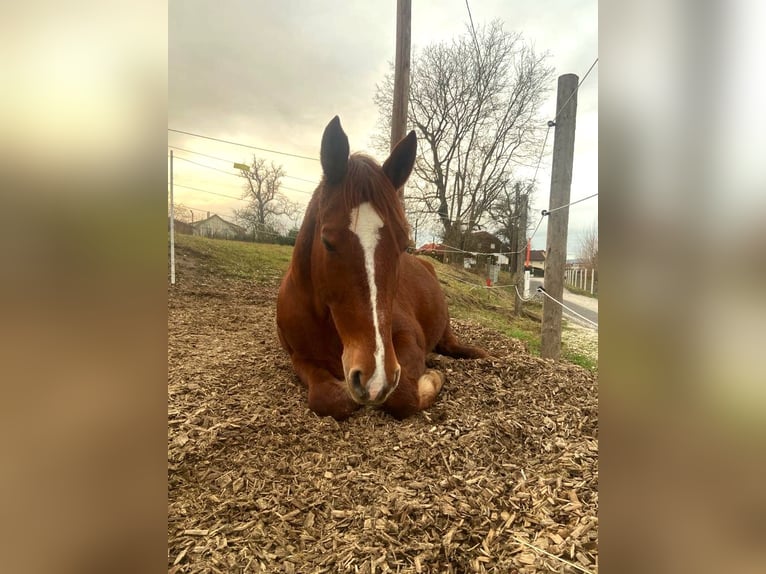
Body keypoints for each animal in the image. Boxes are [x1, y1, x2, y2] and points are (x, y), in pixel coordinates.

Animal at [276, 118, 486, 424]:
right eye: (327, 241)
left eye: (404, 243)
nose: (375, 379)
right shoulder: (299, 358)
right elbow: (329, 399)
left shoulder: (404, 341)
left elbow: (403, 396)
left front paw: (432, 377)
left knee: (452, 346)